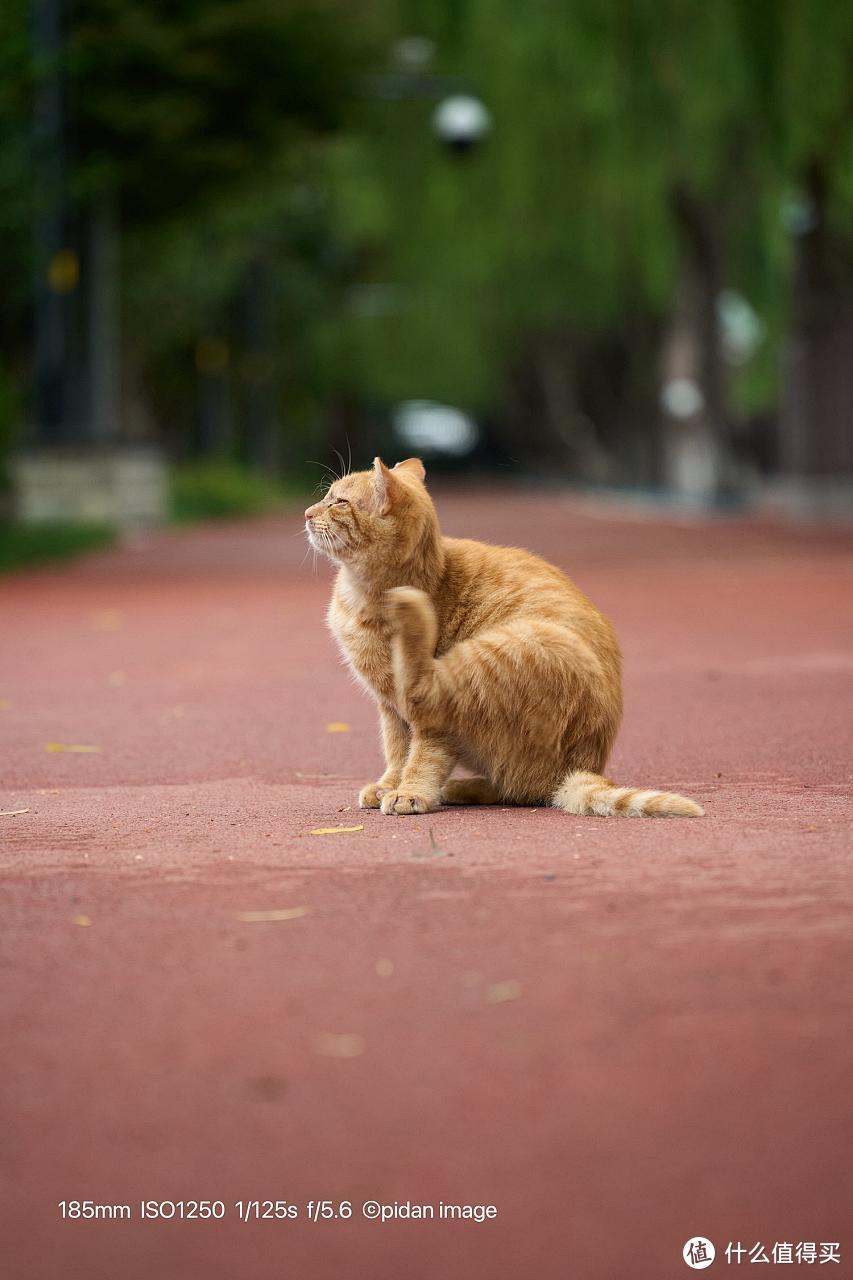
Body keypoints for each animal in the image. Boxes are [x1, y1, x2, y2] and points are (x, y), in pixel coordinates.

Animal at [302, 460, 701, 819]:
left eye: (339, 502)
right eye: (326, 496)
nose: (307, 513)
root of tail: (579, 770)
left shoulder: (427, 724)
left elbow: (422, 755)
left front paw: (409, 793)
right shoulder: (389, 710)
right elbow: (397, 751)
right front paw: (388, 785)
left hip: (515, 647)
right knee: (514, 787)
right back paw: (459, 787)